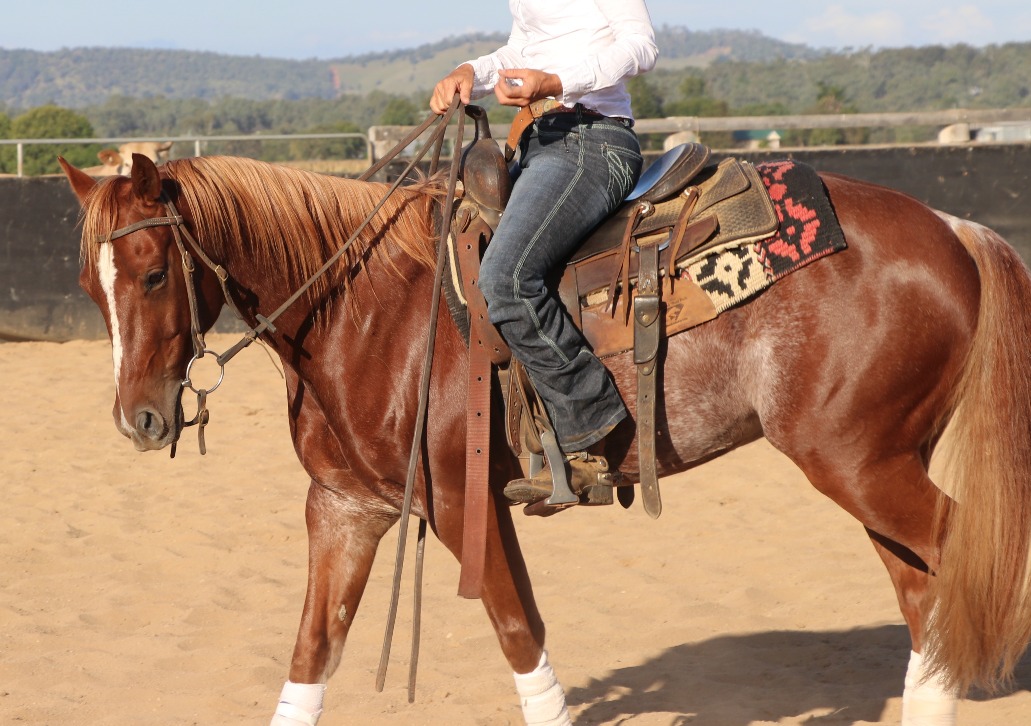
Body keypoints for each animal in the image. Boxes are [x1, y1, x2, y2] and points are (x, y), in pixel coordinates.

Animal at [59, 149, 1031, 725]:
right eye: (90, 284)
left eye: (153, 273)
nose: (139, 420)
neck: (368, 312)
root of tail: (954, 230)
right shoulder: (345, 508)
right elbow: (314, 649)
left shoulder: (463, 503)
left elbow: (517, 633)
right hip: (874, 463)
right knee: (924, 590)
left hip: (856, 462)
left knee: (965, 558)